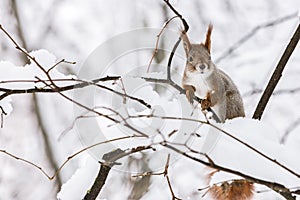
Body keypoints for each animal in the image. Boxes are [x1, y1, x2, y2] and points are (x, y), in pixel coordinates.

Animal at [180, 25, 253, 200]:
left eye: (209, 56)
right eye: (190, 59)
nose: (202, 66)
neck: (200, 79)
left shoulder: (219, 85)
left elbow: (215, 96)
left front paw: (206, 102)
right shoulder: (185, 79)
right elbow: (186, 87)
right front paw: (189, 94)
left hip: (231, 104)